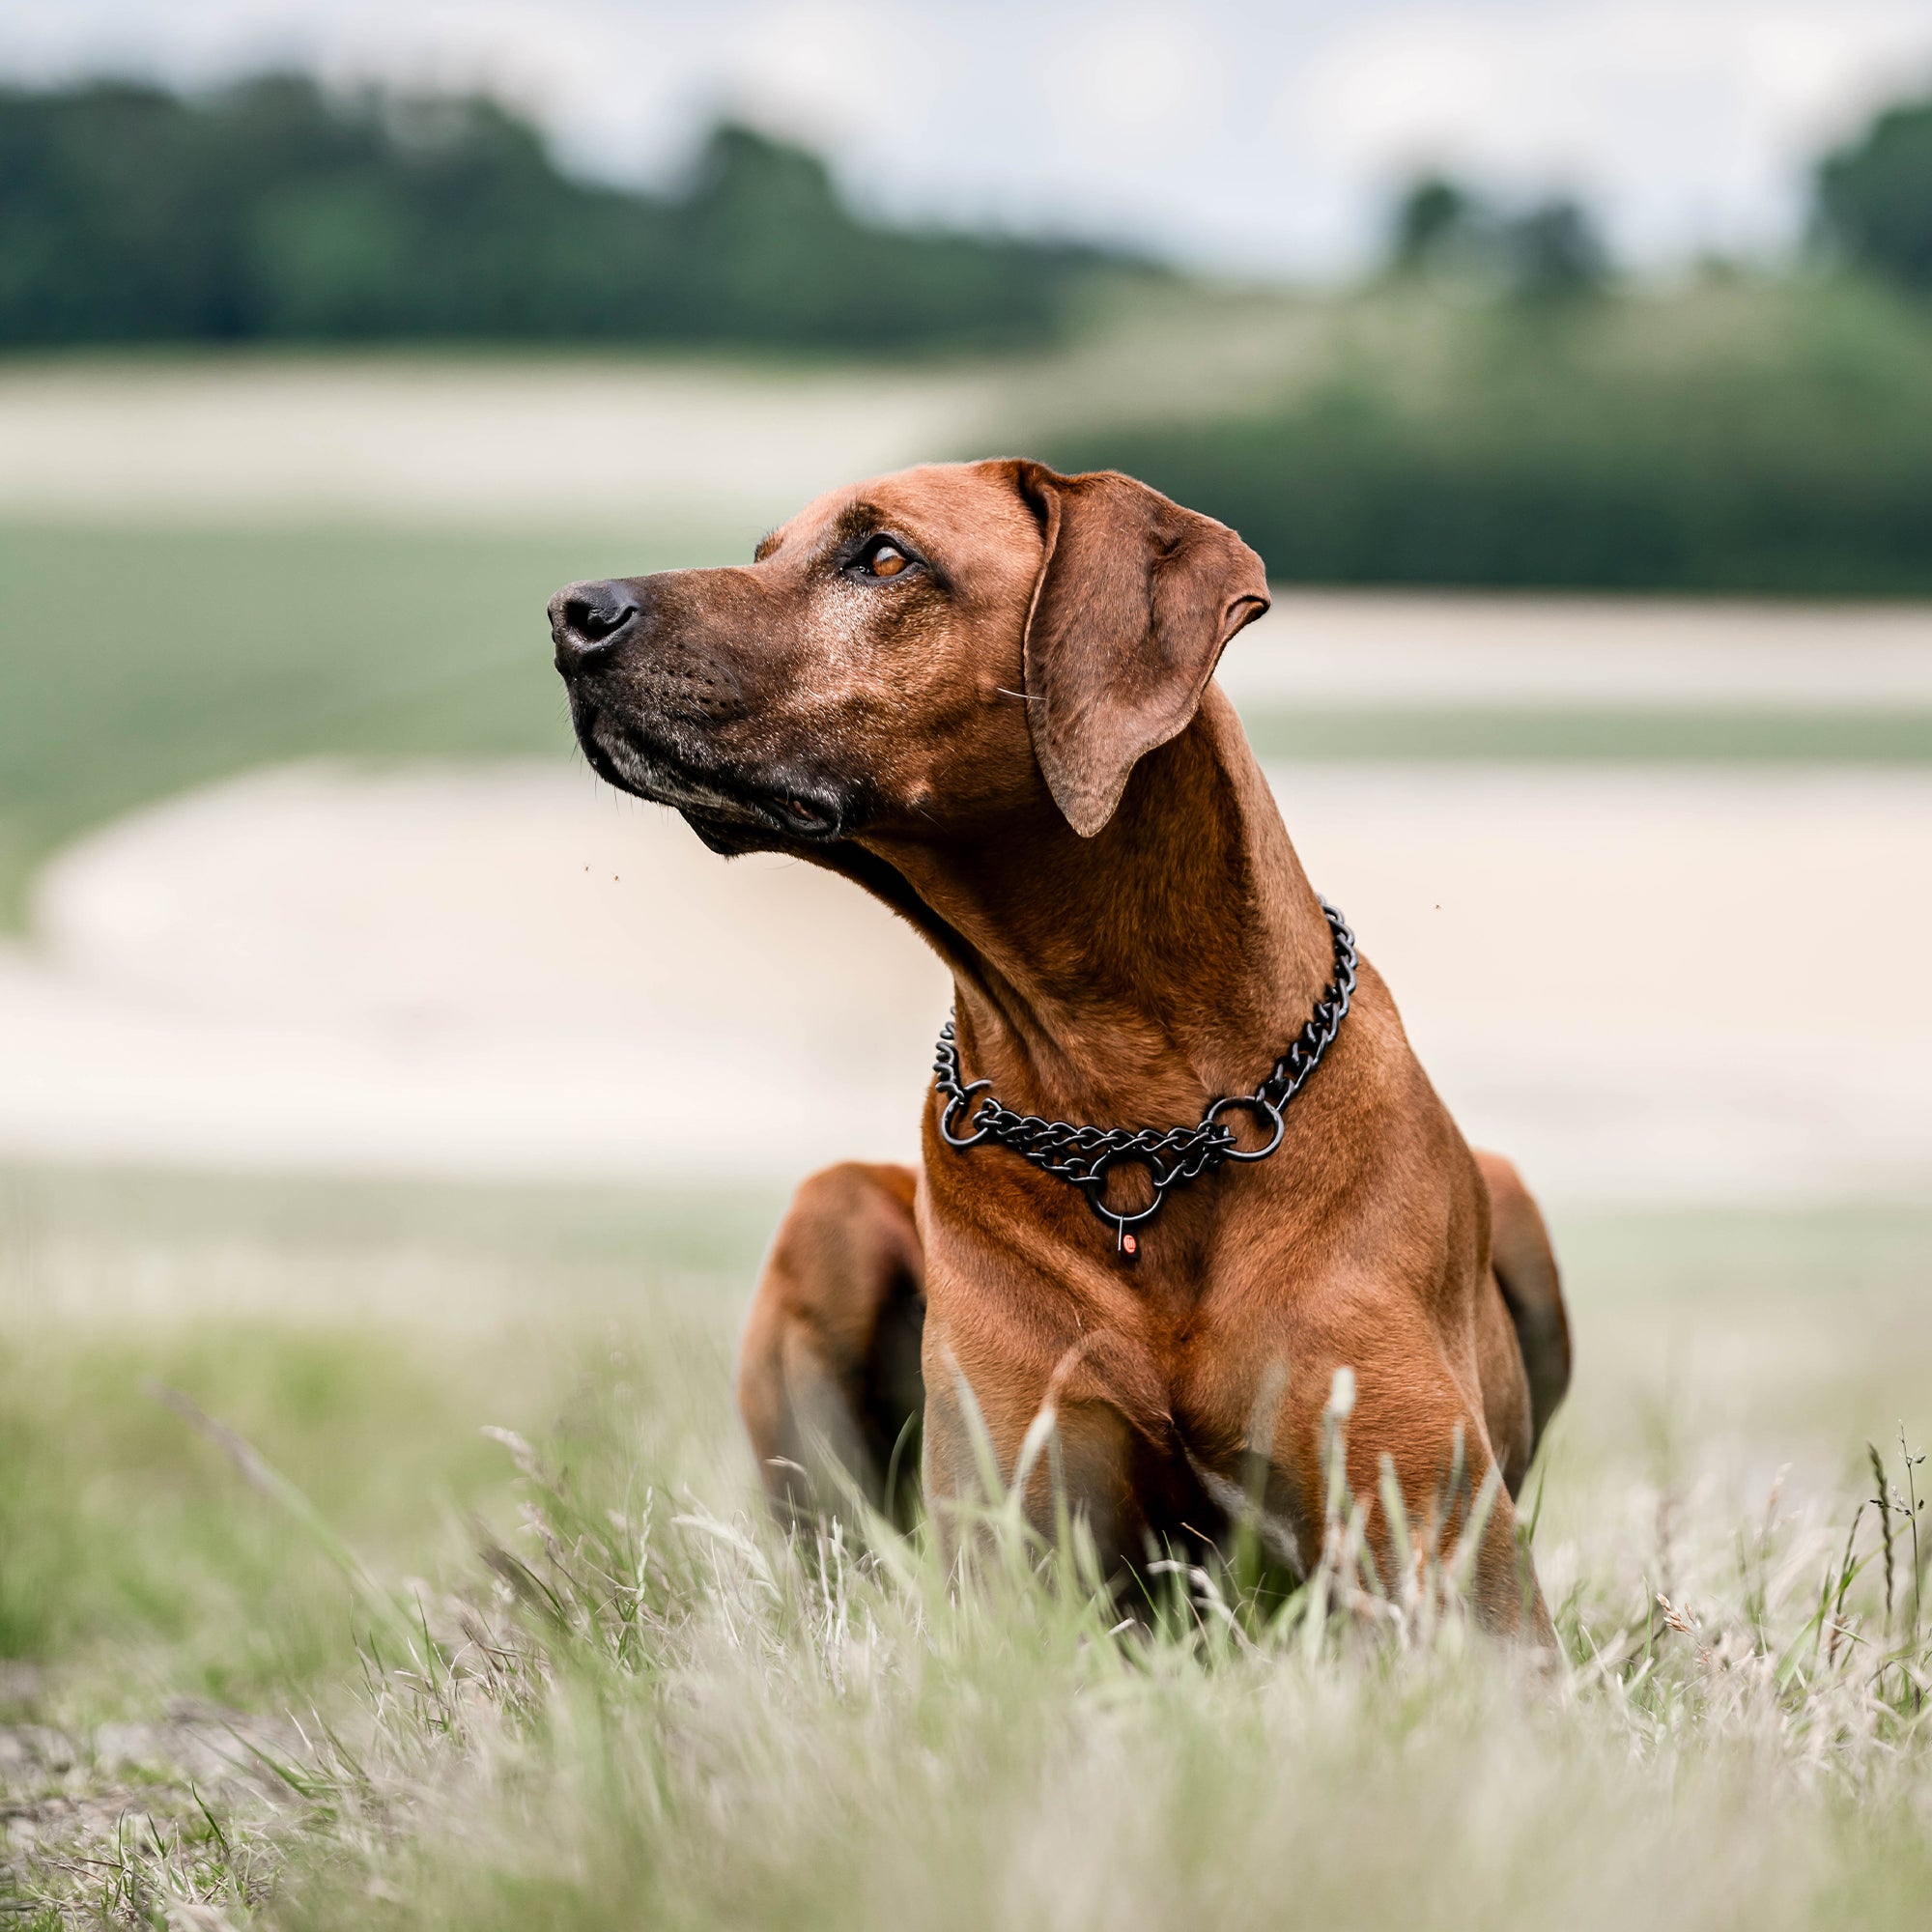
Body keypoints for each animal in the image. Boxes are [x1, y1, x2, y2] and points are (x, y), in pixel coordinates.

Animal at [556, 460, 1569, 1638]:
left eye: (883, 557)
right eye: (765, 554)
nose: (571, 613)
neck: (1132, 1119)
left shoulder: (1456, 1586)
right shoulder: (1018, 1558)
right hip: (830, 1214)